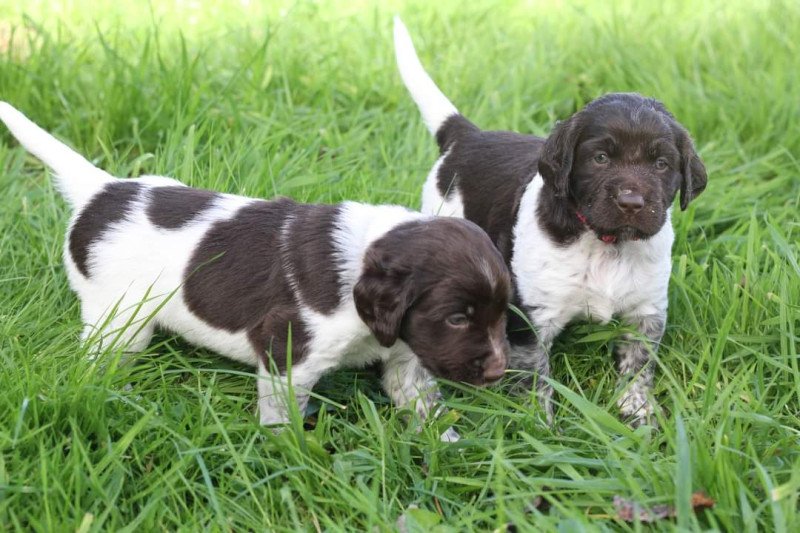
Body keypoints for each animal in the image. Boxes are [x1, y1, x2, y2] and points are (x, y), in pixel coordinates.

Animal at [1, 102, 512, 438]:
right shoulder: (289, 355)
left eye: (501, 315)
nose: (498, 372)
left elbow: (421, 403)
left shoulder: (406, 355)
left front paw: (445, 446)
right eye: (456, 318)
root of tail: (102, 192)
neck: (361, 259)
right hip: (118, 319)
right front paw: (293, 455)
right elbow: (283, 416)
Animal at [394, 18, 708, 426]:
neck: (605, 244)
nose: (631, 202)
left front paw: (637, 412)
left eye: (661, 164)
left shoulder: (647, 311)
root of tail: (469, 136)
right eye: (600, 158)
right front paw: (540, 424)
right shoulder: (531, 318)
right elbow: (535, 376)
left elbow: (639, 364)